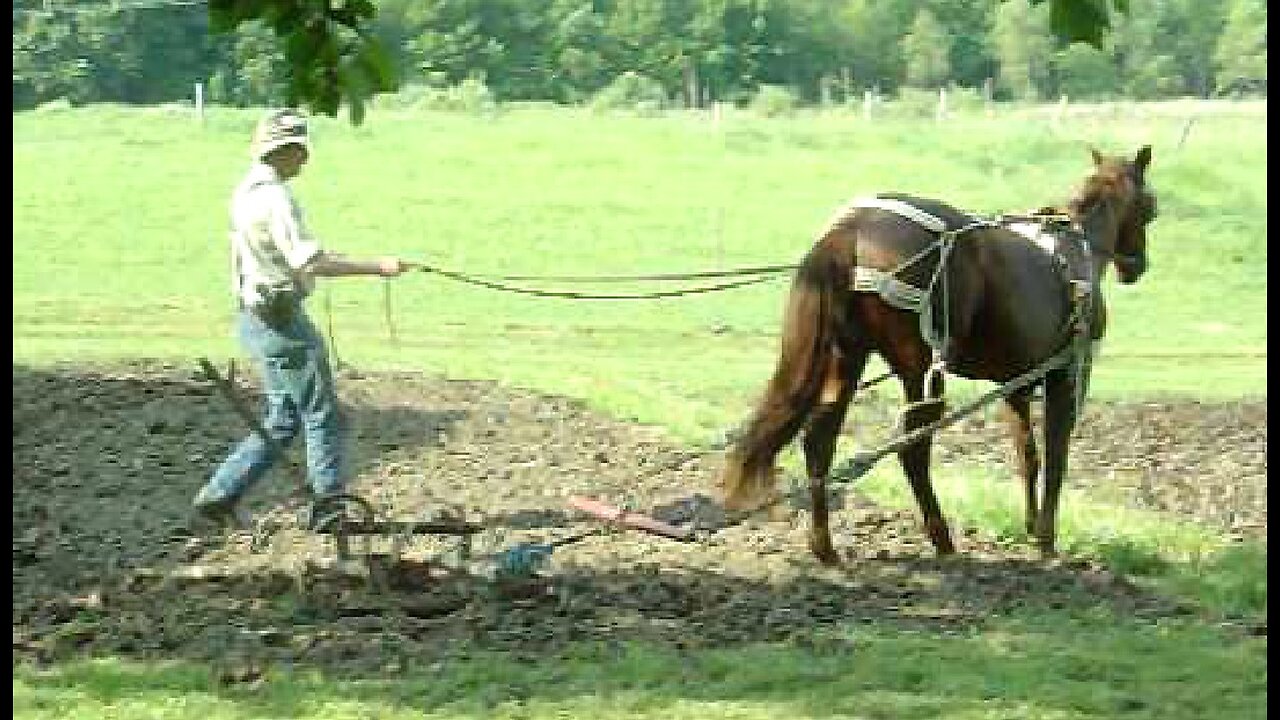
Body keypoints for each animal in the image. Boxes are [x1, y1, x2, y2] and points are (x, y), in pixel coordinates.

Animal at [721, 146, 1162, 561]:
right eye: (1151, 207)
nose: (1137, 265)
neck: (1074, 246)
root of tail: (853, 228)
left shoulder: (1013, 384)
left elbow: (1028, 456)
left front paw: (1030, 526)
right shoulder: (1067, 374)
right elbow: (1056, 457)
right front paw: (1047, 541)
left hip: (848, 356)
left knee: (819, 441)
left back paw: (824, 545)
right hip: (920, 369)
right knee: (913, 449)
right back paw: (942, 538)